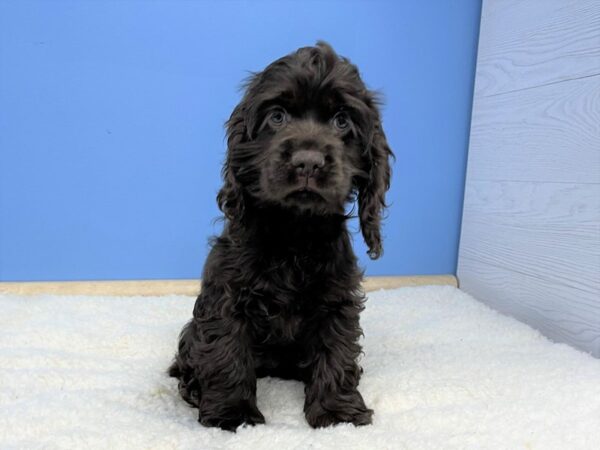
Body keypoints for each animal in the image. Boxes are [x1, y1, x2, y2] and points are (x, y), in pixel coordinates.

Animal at [169, 42, 394, 432]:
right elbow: (227, 352)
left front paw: (337, 413)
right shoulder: (227, 296)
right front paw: (233, 415)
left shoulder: (337, 298)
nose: (308, 161)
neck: (294, 232)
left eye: (342, 121)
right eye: (277, 117)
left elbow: (337, 350)